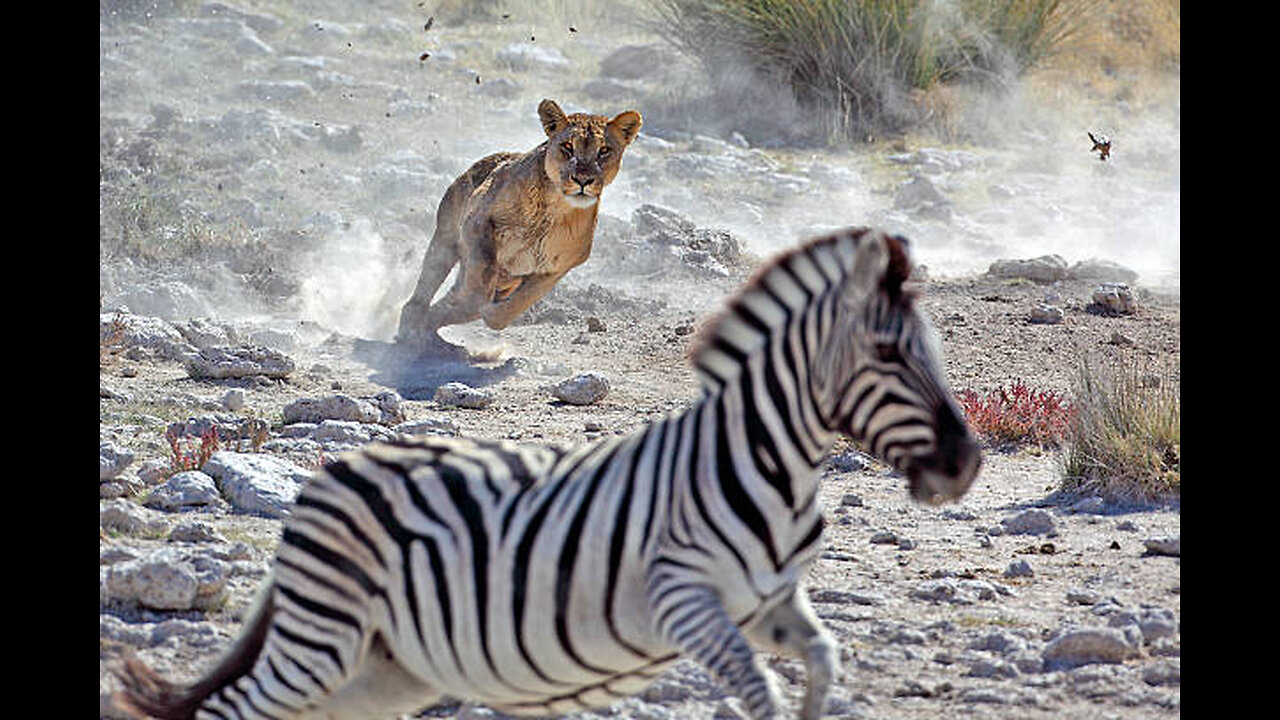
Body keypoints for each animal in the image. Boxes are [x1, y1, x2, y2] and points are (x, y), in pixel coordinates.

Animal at [117, 226, 977, 717]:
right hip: (322, 640)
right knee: (235, 710)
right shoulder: (682, 601)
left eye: (934, 347)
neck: (763, 464)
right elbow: (759, 691)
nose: (965, 464)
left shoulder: (769, 602)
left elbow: (825, 660)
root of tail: (334, 472)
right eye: (888, 353)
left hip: (387, 666)